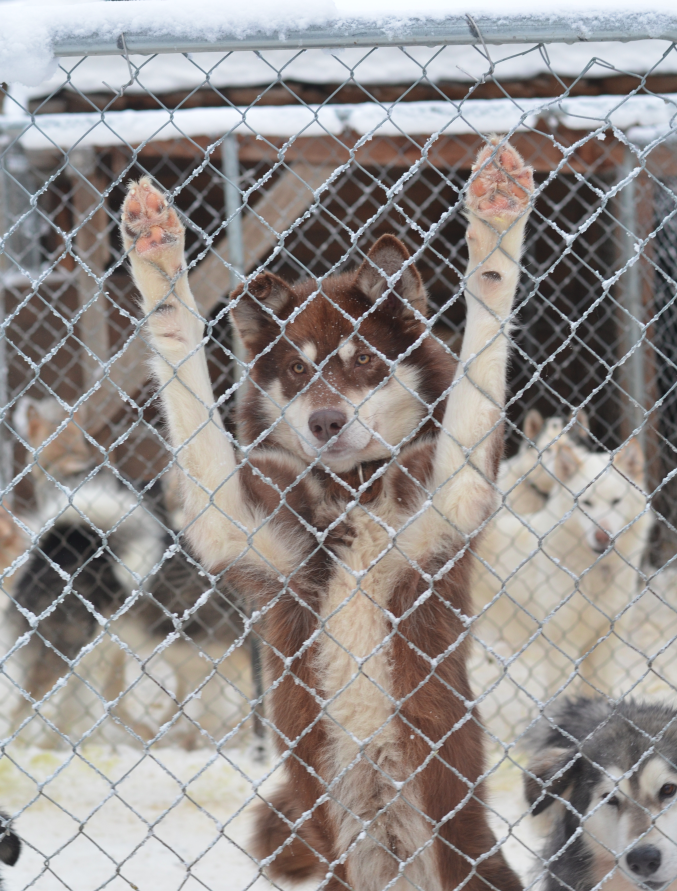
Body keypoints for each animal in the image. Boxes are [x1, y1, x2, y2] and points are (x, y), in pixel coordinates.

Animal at [120, 138, 532, 891]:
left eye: (362, 359)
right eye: (294, 369)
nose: (324, 421)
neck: (353, 494)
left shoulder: (453, 491)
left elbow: (484, 323)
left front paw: (494, 231)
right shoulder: (236, 523)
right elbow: (182, 359)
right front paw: (158, 263)